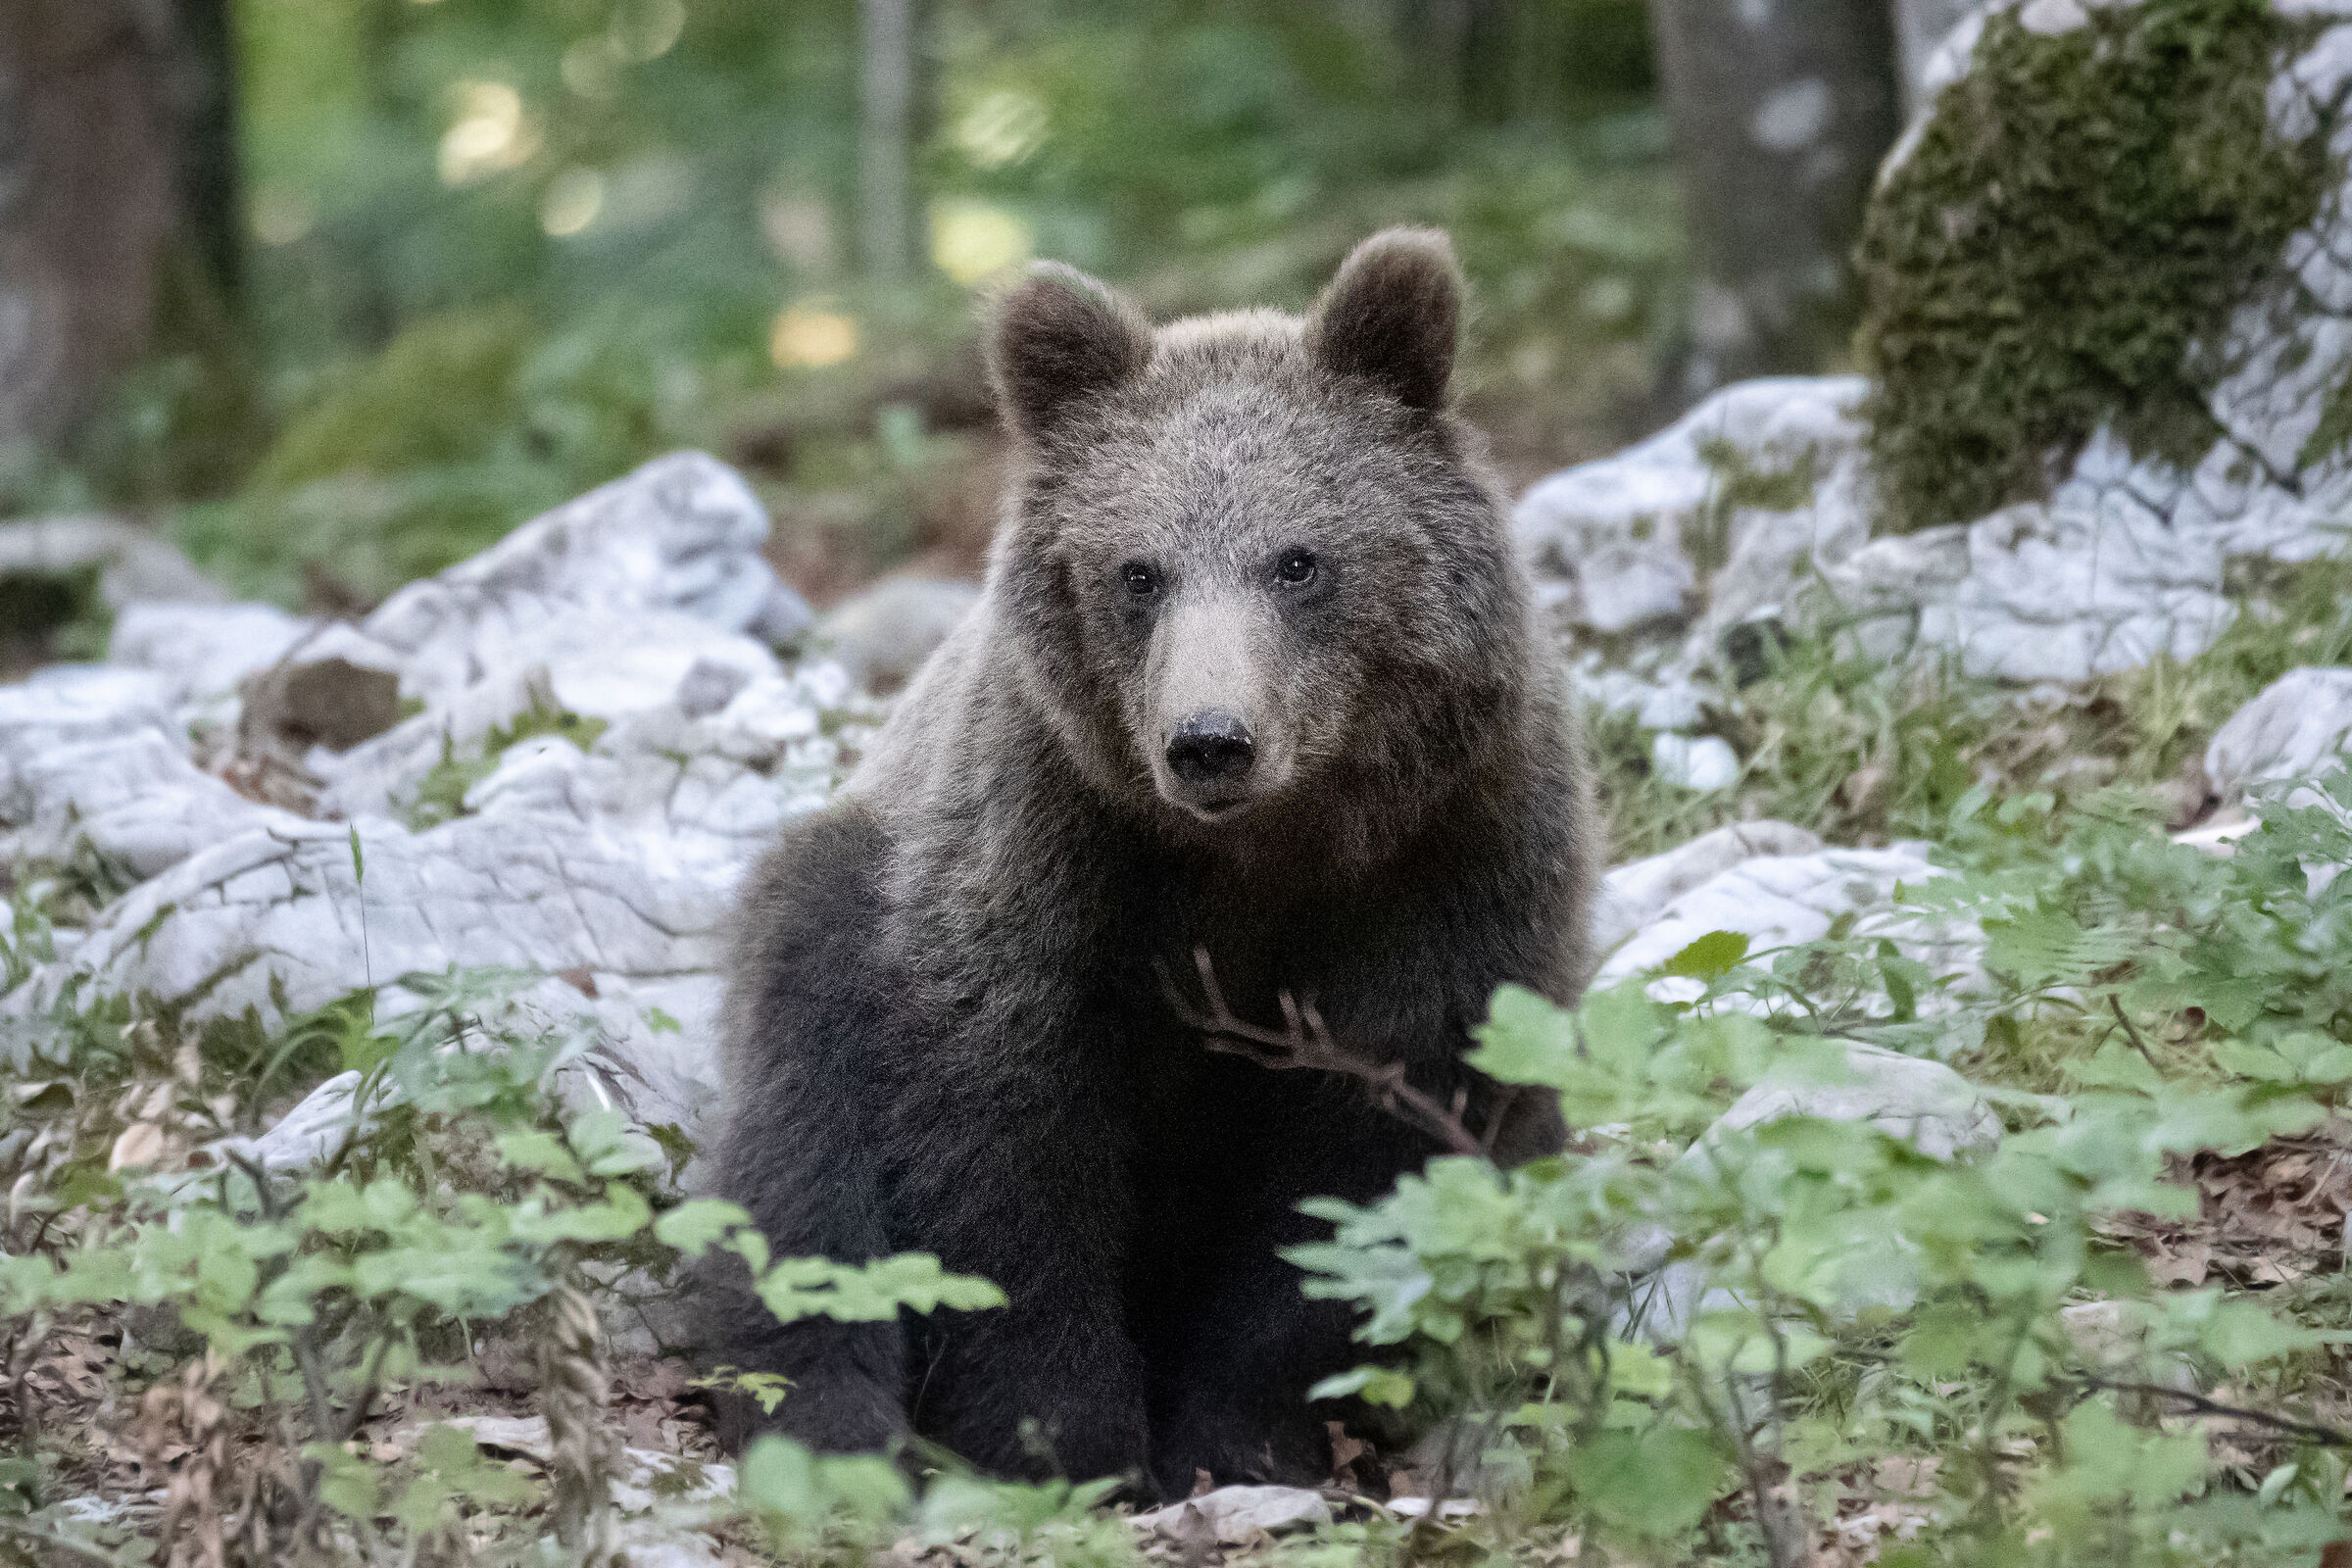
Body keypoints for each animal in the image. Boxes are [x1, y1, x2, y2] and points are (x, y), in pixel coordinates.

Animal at [703, 227, 1599, 1500]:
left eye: (1298, 561)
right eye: (1140, 570)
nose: (1210, 738)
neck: (1265, 849)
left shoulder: (1450, 857)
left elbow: (1362, 1157)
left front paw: (1241, 1431)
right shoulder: (1048, 847)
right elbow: (1005, 1144)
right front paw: (1065, 1436)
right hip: (835, 897)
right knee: (798, 1158)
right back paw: (830, 1421)